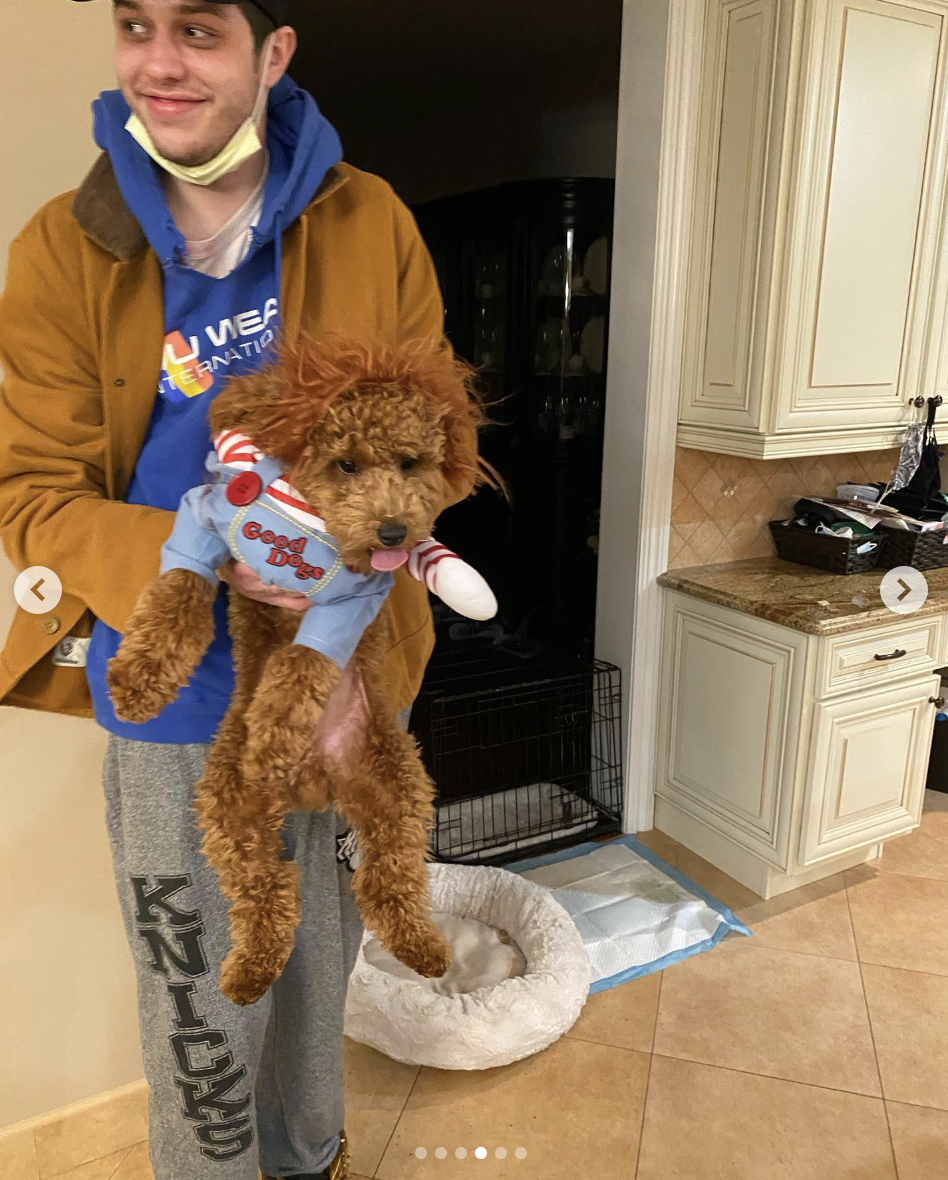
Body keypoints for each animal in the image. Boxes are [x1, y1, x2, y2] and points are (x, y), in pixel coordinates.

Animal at [105, 339, 488, 1005]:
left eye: (410, 463)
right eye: (346, 465)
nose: (393, 532)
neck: (309, 525)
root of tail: (317, 783)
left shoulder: (349, 602)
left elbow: (303, 662)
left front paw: (272, 737)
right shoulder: (204, 525)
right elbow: (176, 590)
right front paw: (137, 680)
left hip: (399, 788)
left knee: (388, 881)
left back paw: (422, 947)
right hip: (228, 806)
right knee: (266, 890)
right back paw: (250, 970)